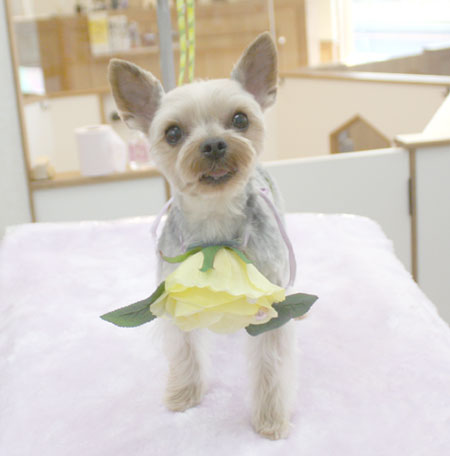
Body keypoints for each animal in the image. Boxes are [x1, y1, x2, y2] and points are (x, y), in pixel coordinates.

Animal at [108, 32, 296, 440]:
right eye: (173, 133)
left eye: (240, 119)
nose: (212, 144)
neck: (215, 225)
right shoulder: (174, 295)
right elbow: (184, 352)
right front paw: (184, 395)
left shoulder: (271, 301)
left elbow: (271, 366)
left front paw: (270, 421)